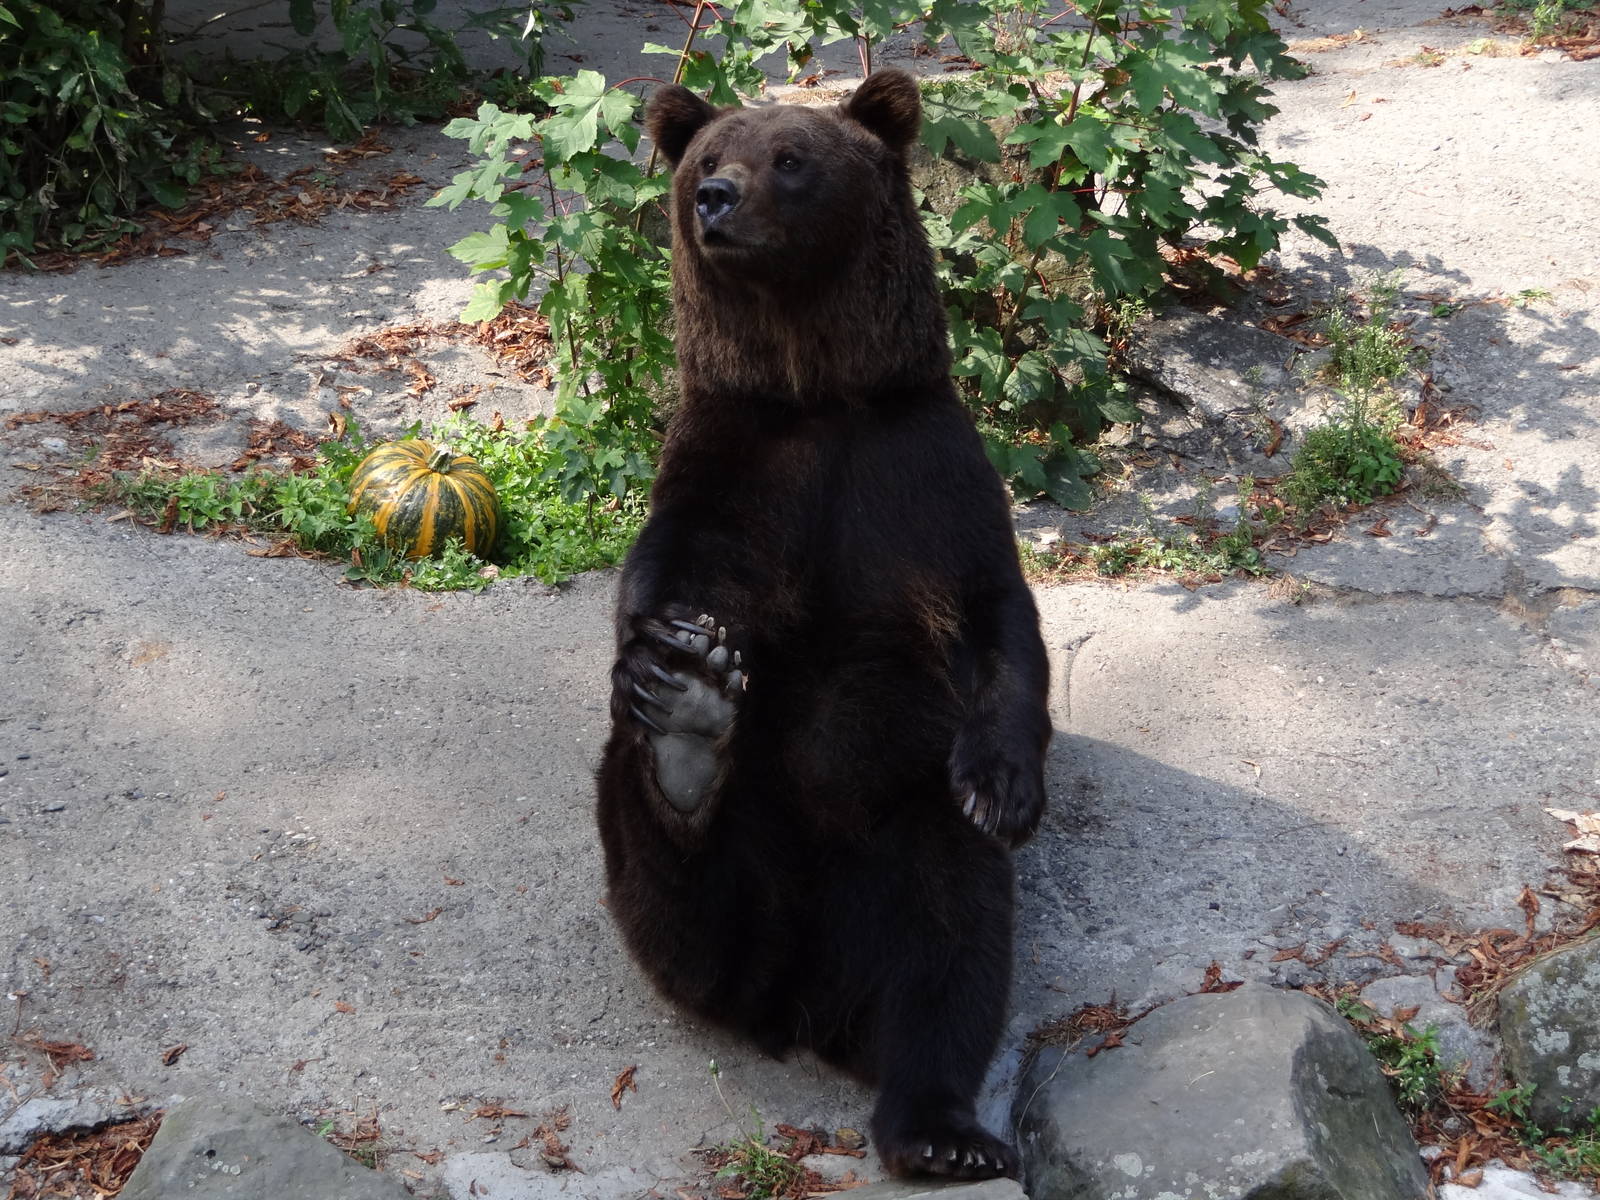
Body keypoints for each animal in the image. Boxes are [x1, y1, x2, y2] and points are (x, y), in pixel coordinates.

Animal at [595, 69, 1052, 1180]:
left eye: (791, 158)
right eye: (710, 155)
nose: (716, 198)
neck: (817, 392)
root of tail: (792, 994)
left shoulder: (921, 472)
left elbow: (1000, 619)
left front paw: (1004, 784)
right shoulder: (735, 465)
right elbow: (662, 572)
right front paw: (674, 669)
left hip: (899, 836)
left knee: (951, 943)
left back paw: (939, 1129)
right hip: (699, 884)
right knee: (666, 875)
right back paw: (685, 743)